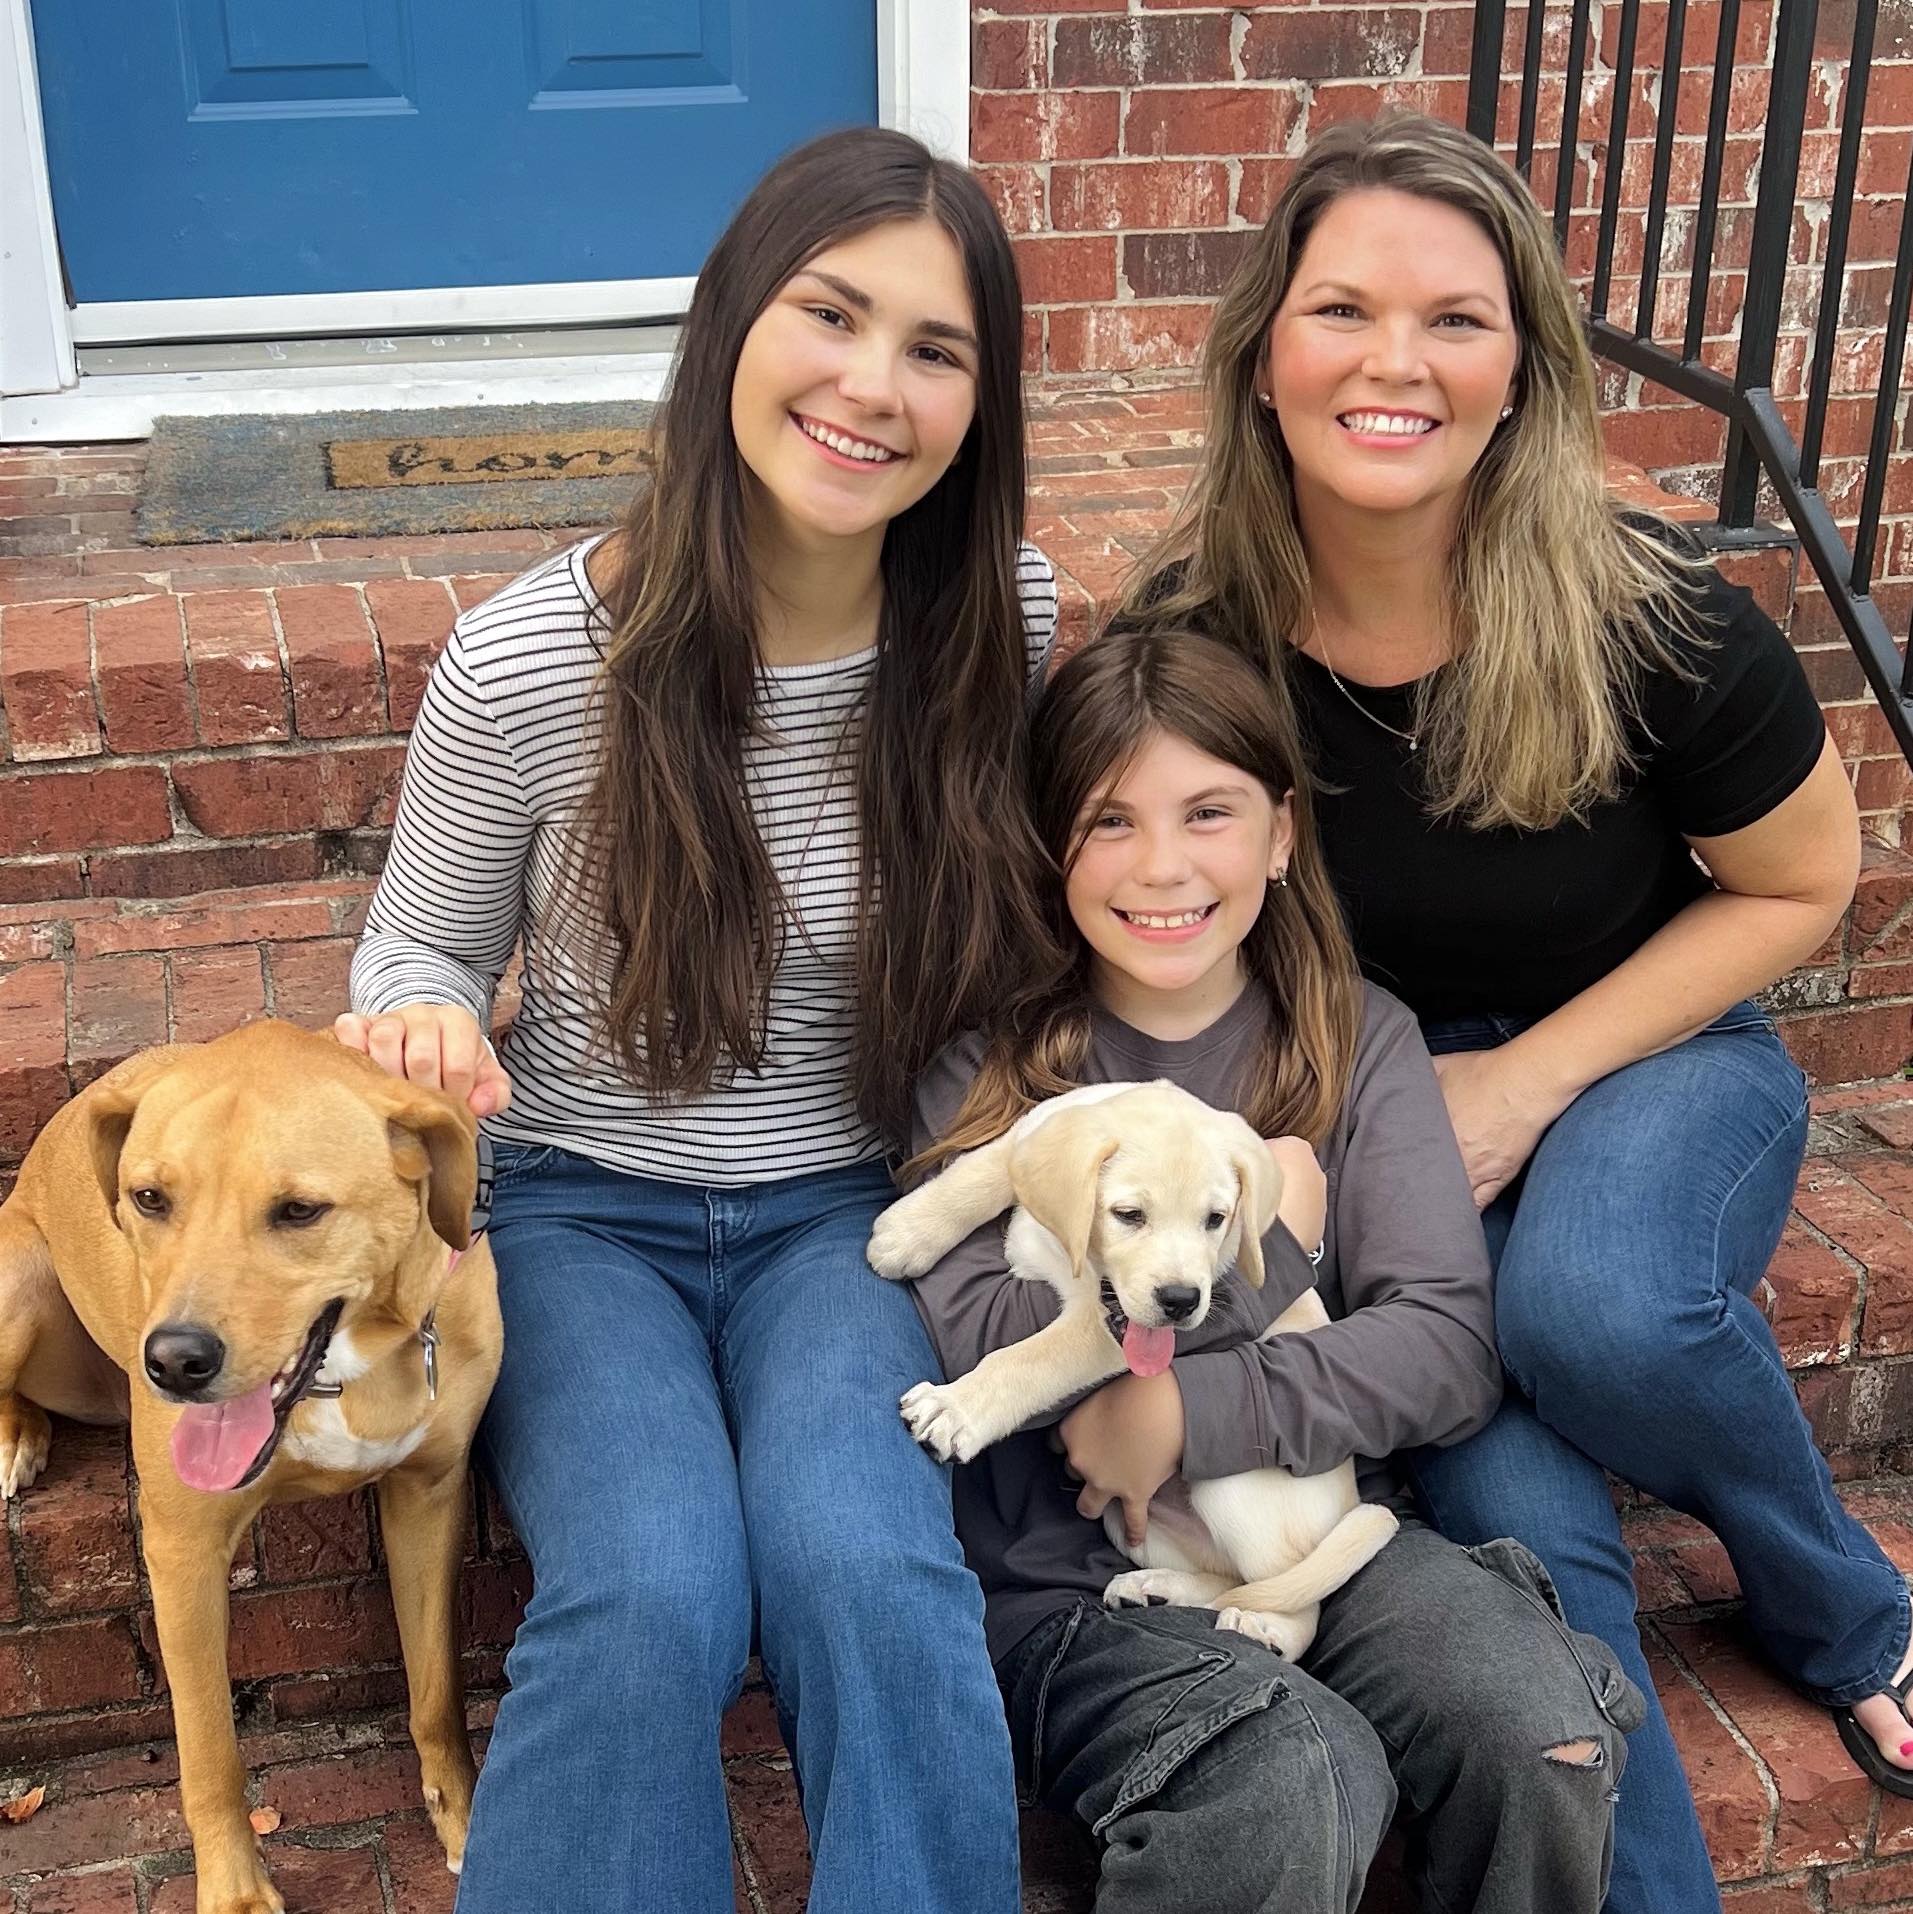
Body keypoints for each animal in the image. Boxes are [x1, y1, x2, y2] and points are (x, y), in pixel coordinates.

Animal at [0, 1025, 501, 1914]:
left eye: (299, 1210)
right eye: (149, 1198)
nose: (173, 1362)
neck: (341, 1374)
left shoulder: (428, 1496)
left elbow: (437, 1693)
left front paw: (465, 1823)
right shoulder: (183, 1549)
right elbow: (209, 1753)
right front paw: (234, 1892)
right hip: (16, 1282)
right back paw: (16, 1435)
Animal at [869, 1087, 1394, 1669]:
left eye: (1216, 1219)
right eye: (1129, 1215)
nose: (1182, 1301)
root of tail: (1348, 1502)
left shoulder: (1099, 1327)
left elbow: (1027, 1359)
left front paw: (954, 1410)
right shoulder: (1031, 1132)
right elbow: (982, 1170)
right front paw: (907, 1232)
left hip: (1232, 1483)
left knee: (1294, 1591)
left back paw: (1265, 1629)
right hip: (1128, 1520)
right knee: (1230, 1576)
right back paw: (1156, 1588)